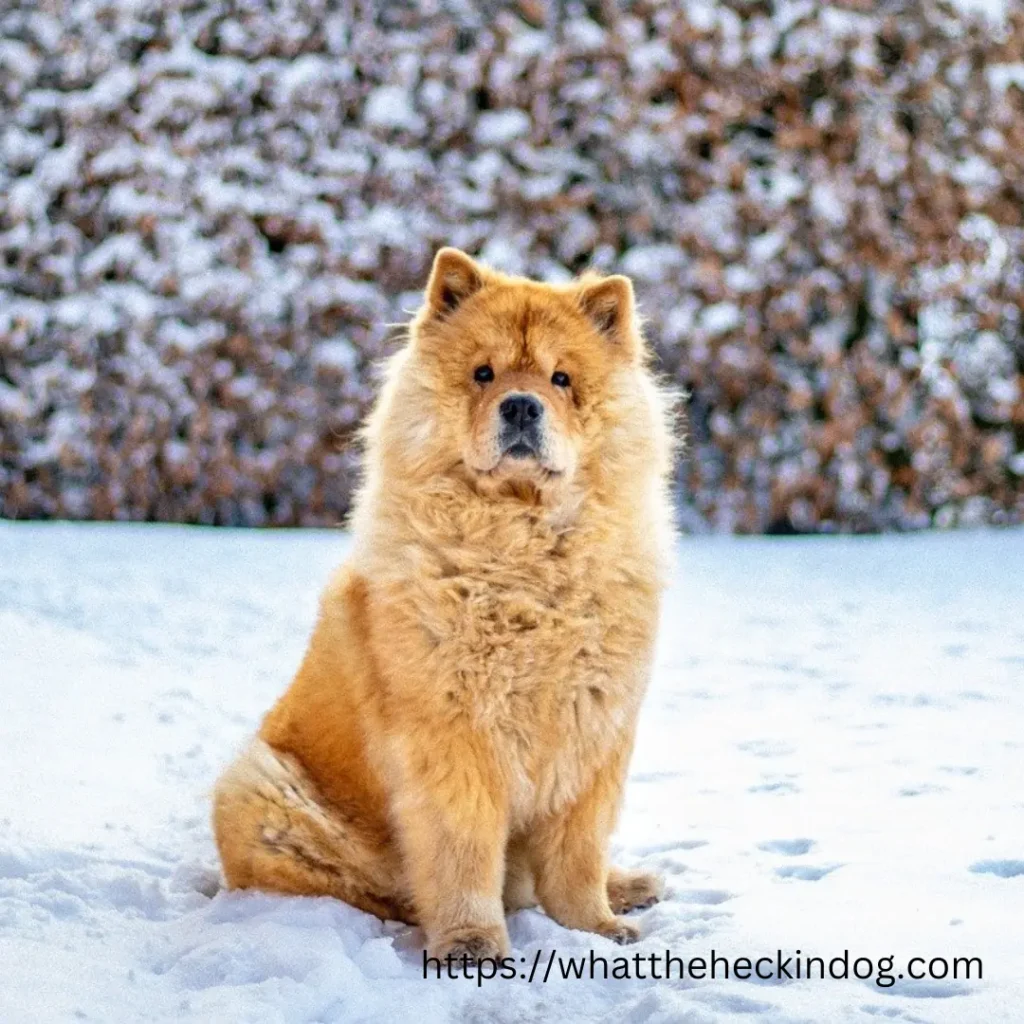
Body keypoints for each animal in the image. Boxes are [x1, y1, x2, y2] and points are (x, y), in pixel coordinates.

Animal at [214, 245, 679, 958]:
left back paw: (628, 885)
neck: (524, 552)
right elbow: (463, 852)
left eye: (562, 379)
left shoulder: (595, 734)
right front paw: (471, 944)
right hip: (258, 787)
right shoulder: (453, 738)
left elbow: (577, 855)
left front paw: (596, 928)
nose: (521, 406)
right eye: (483, 373)